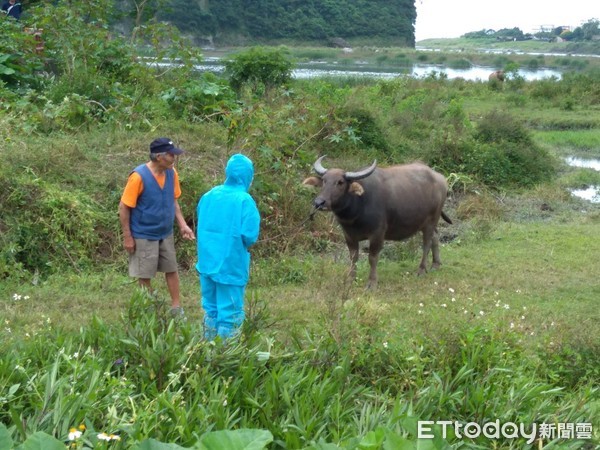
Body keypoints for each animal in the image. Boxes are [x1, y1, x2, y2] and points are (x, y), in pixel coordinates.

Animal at [304, 156, 450, 288]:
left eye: (340, 182)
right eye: (324, 180)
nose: (319, 202)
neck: (357, 208)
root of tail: (440, 178)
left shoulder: (377, 234)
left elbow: (372, 258)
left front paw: (372, 283)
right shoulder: (349, 235)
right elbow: (353, 257)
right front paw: (350, 279)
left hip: (432, 220)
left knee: (426, 243)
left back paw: (421, 269)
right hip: (428, 222)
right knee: (435, 237)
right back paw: (436, 264)